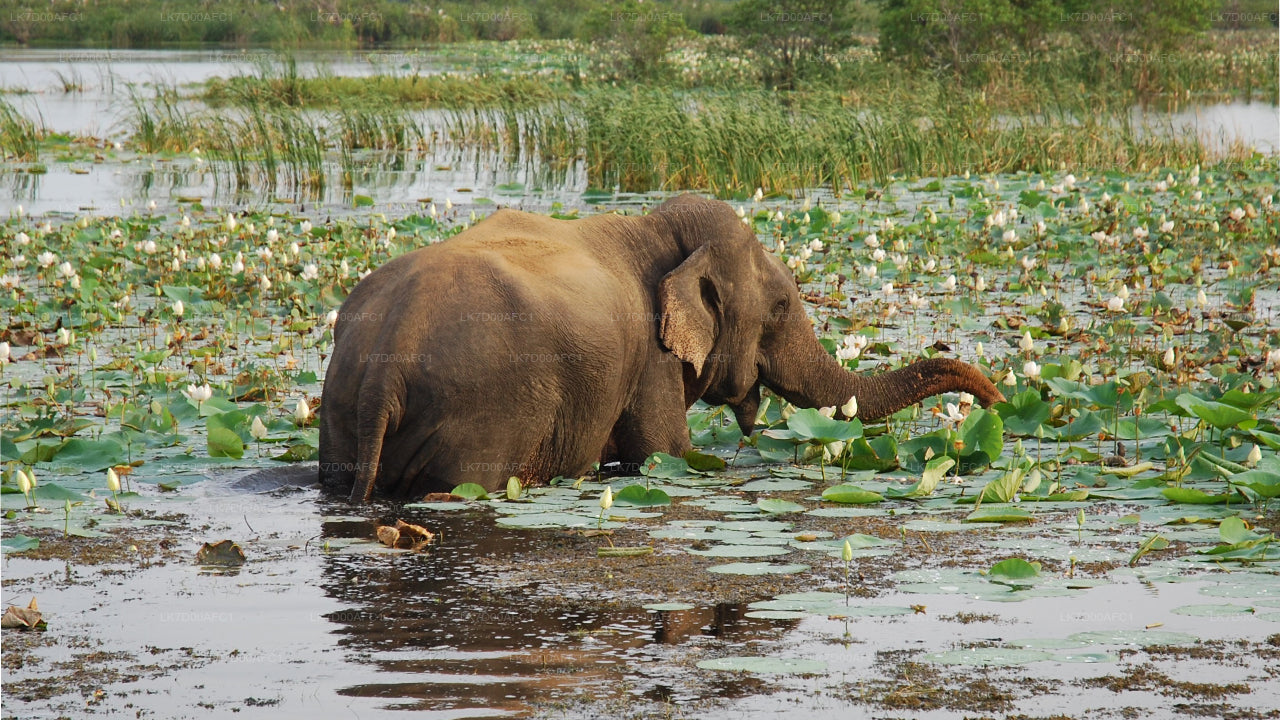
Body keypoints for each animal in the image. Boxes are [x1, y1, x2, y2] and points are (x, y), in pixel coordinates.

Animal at [317, 193, 998, 502]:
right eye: (780, 308)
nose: (994, 396)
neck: (656, 228)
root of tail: (384, 368)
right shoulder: (650, 360)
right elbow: (667, 454)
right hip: (476, 420)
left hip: (341, 414)